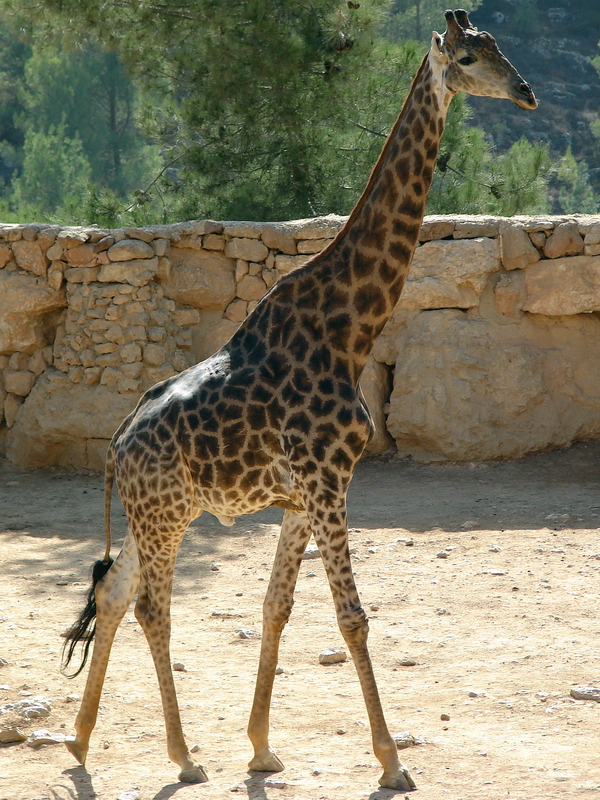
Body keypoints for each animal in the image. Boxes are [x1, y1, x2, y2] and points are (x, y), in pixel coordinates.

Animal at [62, 10, 536, 792]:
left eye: (501, 48)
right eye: (469, 58)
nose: (526, 93)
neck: (351, 326)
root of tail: (116, 445)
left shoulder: (301, 495)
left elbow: (277, 606)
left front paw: (260, 746)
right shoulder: (326, 480)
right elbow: (352, 617)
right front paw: (391, 762)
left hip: (156, 512)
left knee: (113, 591)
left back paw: (79, 741)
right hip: (166, 515)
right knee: (154, 606)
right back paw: (182, 756)